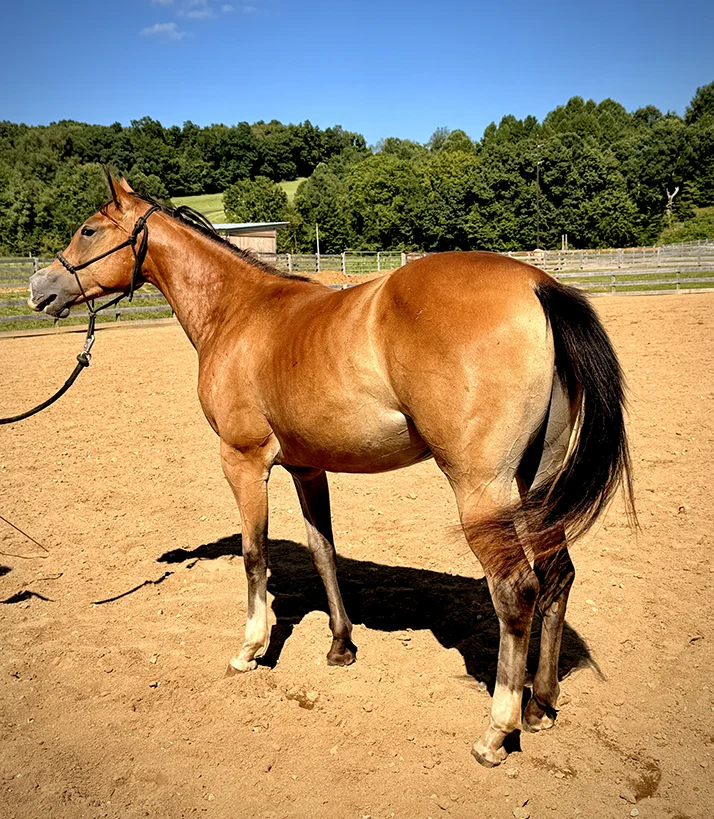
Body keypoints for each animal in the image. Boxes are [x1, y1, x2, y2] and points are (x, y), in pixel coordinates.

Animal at [28, 174, 634, 767]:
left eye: (87, 230)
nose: (39, 288)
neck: (239, 312)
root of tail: (536, 284)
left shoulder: (243, 461)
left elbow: (254, 555)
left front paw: (250, 649)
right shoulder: (306, 468)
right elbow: (323, 551)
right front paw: (341, 645)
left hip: (481, 489)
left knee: (516, 592)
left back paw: (496, 732)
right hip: (536, 484)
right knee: (557, 578)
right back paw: (540, 704)